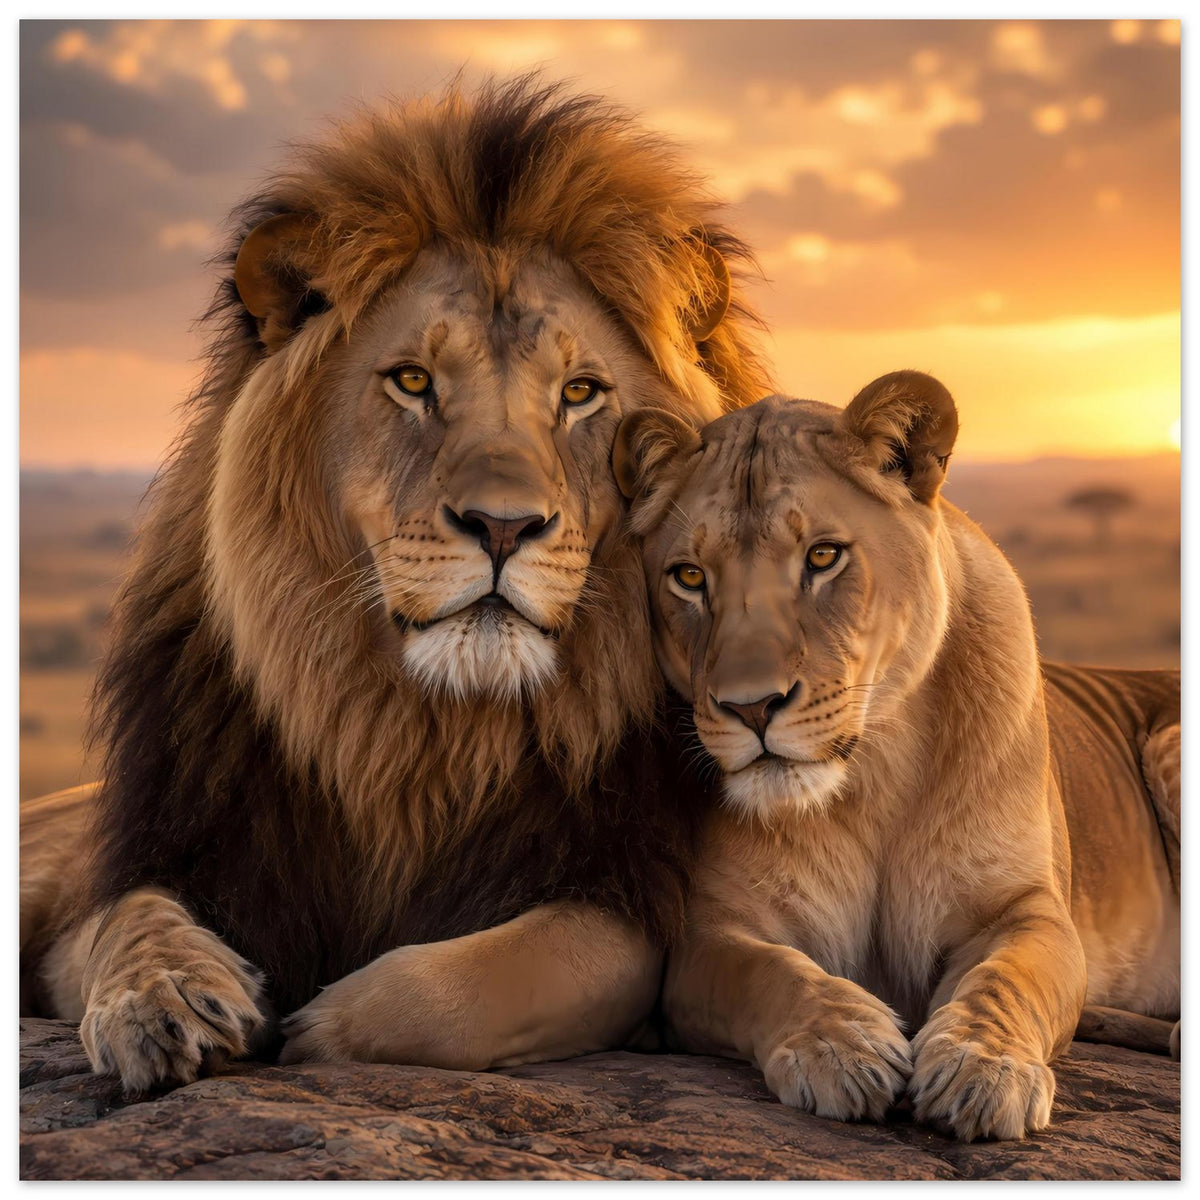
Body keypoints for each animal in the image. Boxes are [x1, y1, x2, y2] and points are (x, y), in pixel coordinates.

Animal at [18, 75, 772, 1092]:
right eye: (413, 381)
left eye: (580, 393)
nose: (505, 526)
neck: (416, 739)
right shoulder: (151, 857)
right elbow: (124, 920)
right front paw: (165, 999)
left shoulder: (624, 901)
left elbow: (484, 980)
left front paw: (317, 1027)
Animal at [612, 372, 1180, 1141]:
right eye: (690, 577)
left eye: (824, 557)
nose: (751, 708)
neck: (871, 776)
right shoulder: (709, 936)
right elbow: (772, 973)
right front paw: (841, 1045)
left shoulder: (1029, 911)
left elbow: (1005, 979)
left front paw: (981, 1067)